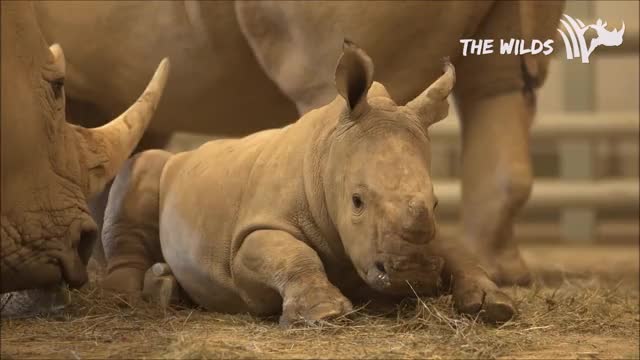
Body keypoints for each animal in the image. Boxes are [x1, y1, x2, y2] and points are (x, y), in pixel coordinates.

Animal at [102, 42, 516, 326]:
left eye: (435, 203)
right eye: (357, 201)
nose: (410, 274)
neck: (327, 155)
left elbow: (456, 250)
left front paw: (493, 304)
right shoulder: (251, 232)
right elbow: (292, 254)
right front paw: (325, 314)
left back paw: (167, 291)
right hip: (158, 169)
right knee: (141, 172)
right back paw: (125, 300)